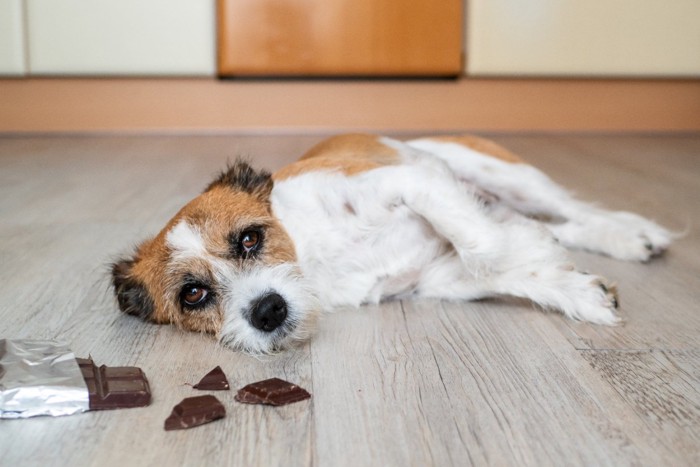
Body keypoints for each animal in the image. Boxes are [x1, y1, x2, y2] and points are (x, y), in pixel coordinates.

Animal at [110, 135, 672, 354]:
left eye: (250, 238)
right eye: (193, 295)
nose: (267, 311)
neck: (315, 255)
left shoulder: (411, 180)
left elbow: (483, 244)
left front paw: (531, 251)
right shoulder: (437, 278)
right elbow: (495, 266)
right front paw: (575, 289)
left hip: (504, 174)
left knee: (573, 210)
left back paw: (634, 233)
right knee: (561, 222)